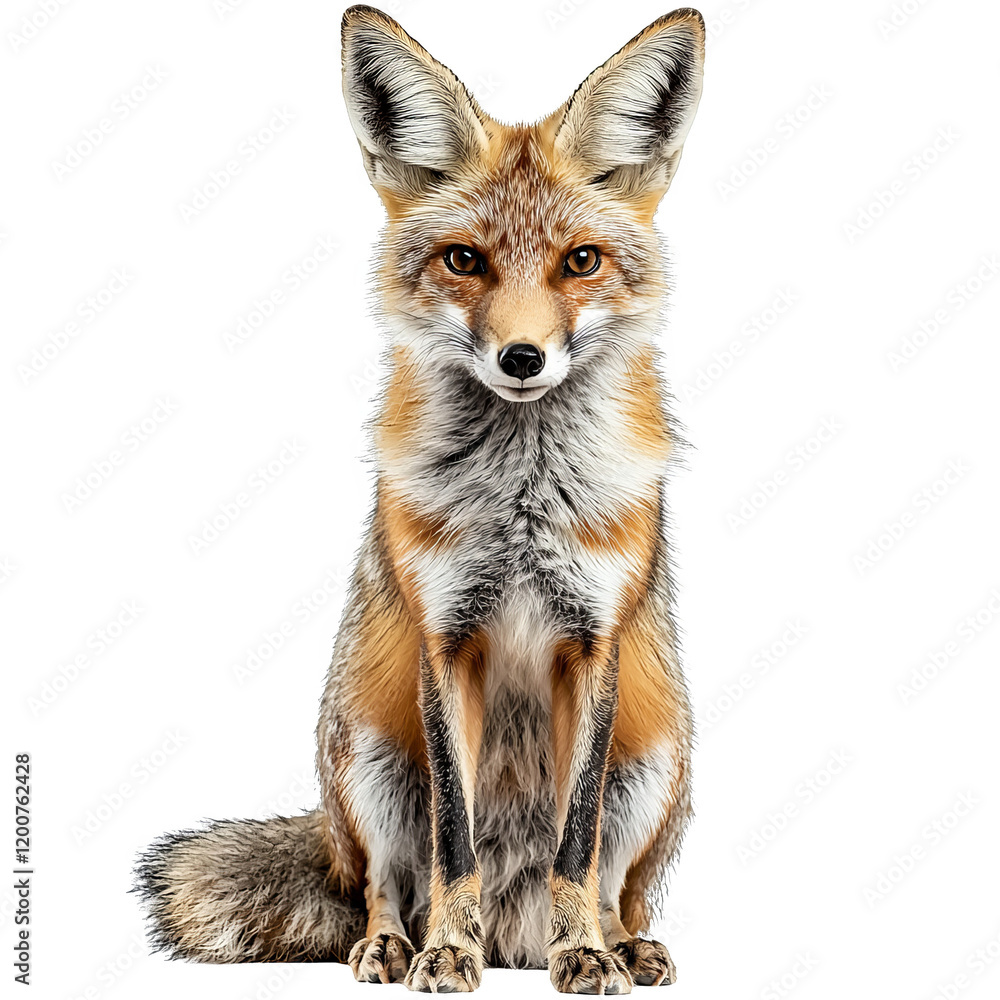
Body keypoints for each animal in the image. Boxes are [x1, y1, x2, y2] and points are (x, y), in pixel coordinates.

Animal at [135, 5, 705, 994]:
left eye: (581, 262)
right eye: (464, 260)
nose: (523, 358)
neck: (521, 506)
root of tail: (517, 937)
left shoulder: (594, 642)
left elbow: (577, 847)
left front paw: (584, 956)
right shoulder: (447, 639)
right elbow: (452, 841)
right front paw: (446, 949)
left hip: (659, 760)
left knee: (617, 884)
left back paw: (619, 944)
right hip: (368, 761)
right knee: (378, 882)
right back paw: (393, 946)